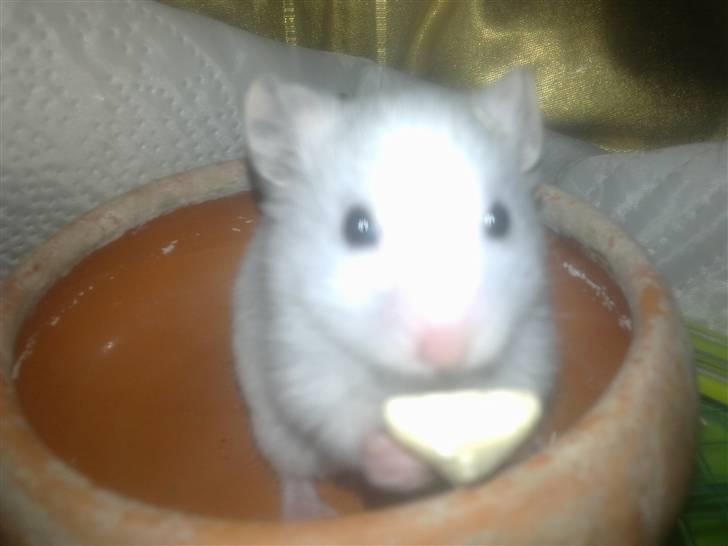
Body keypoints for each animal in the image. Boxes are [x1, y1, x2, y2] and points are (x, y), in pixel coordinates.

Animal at [232, 68, 558, 520]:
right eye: (356, 227)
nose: (447, 351)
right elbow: (346, 422)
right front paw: (401, 464)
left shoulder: (530, 338)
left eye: (501, 220)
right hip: (276, 433)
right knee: (293, 473)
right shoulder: (304, 361)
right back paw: (310, 514)